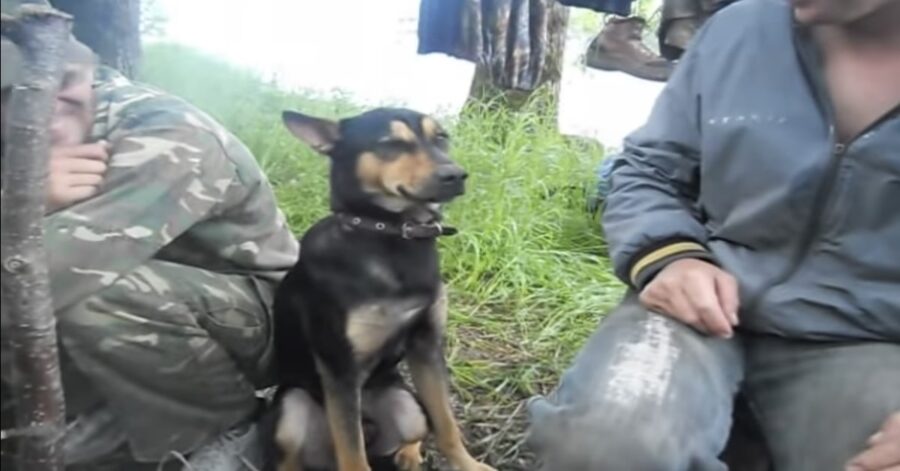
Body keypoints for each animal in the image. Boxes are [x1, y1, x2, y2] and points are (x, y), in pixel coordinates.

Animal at [264, 107, 496, 471]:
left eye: (441, 137)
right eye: (391, 144)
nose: (456, 175)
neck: (391, 235)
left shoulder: (427, 345)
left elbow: (447, 423)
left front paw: (468, 465)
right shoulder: (340, 369)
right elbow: (353, 455)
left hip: (408, 406)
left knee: (416, 430)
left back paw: (409, 455)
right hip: (292, 409)